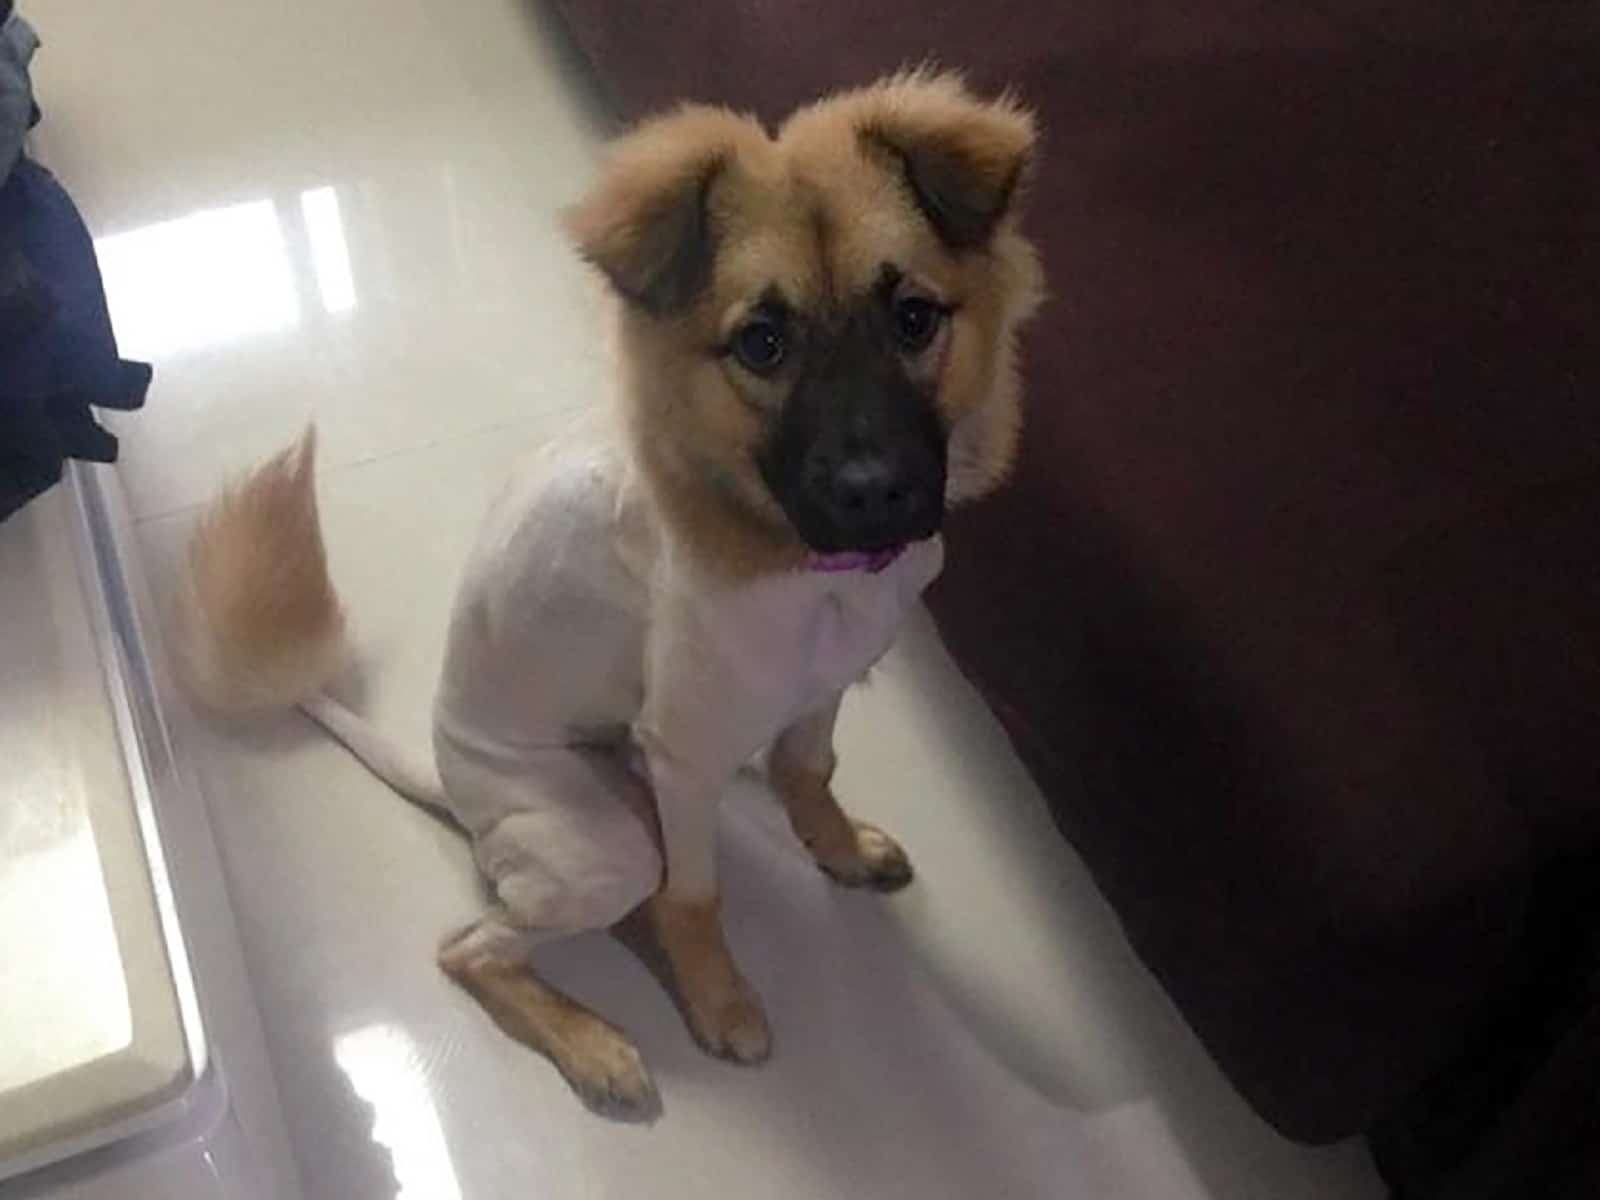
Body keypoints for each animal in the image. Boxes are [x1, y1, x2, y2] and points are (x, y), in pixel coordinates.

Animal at [178, 70, 1049, 1126]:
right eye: (763, 343)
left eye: (915, 318)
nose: (876, 493)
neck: (797, 563)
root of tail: (454, 787)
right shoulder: (683, 756)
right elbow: (701, 898)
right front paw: (720, 1002)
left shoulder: (823, 688)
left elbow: (811, 772)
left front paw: (836, 844)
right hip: (603, 846)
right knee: (484, 945)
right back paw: (594, 1045)